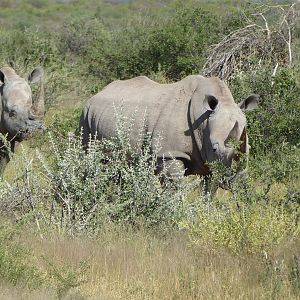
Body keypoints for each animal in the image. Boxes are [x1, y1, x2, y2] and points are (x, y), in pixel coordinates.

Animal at [79, 74, 258, 182]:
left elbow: (208, 193)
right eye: (215, 148)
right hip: (86, 114)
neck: (203, 118)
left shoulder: (210, 163)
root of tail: (98, 92)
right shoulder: (169, 153)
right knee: (89, 156)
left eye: (249, 148)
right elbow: (175, 190)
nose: (237, 179)